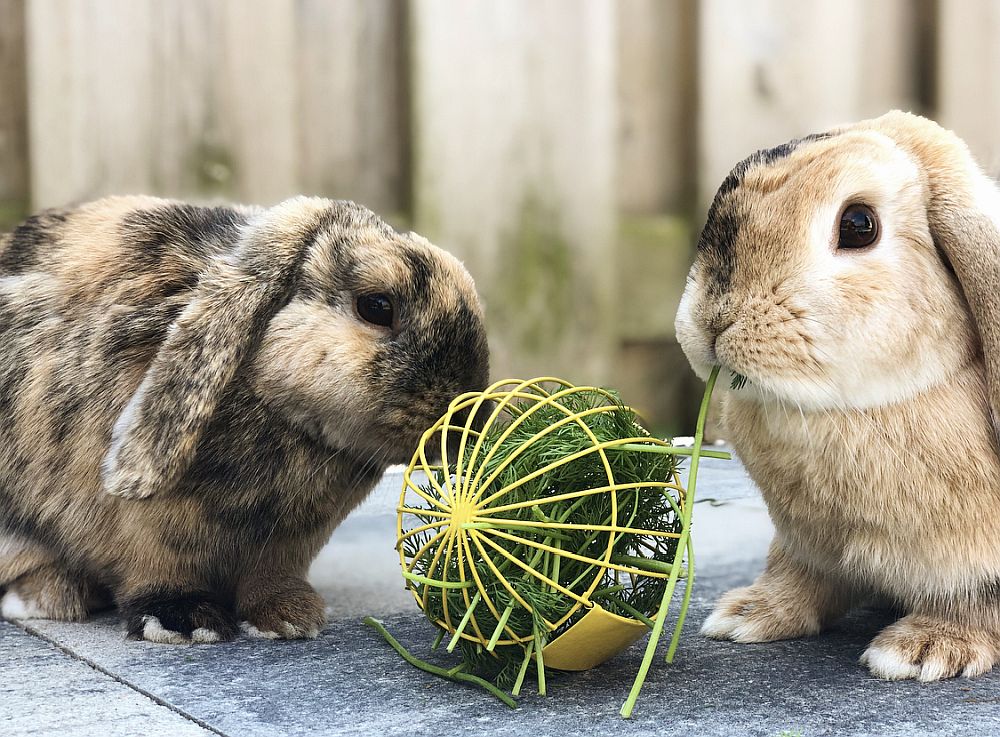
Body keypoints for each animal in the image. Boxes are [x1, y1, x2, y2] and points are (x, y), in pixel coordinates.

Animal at [0, 196, 488, 644]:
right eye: (377, 306)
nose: (466, 418)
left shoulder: (286, 547)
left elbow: (269, 579)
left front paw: (291, 618)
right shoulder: (146, 531)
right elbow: (157, 570)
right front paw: (185, 624)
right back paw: (52, 596)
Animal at [676, 112, 1000, 680]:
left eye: (858, 225)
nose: (714, 319)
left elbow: (973, 600)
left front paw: (925, 651)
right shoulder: (805, 543)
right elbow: (798, 576)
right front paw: (747, 616)